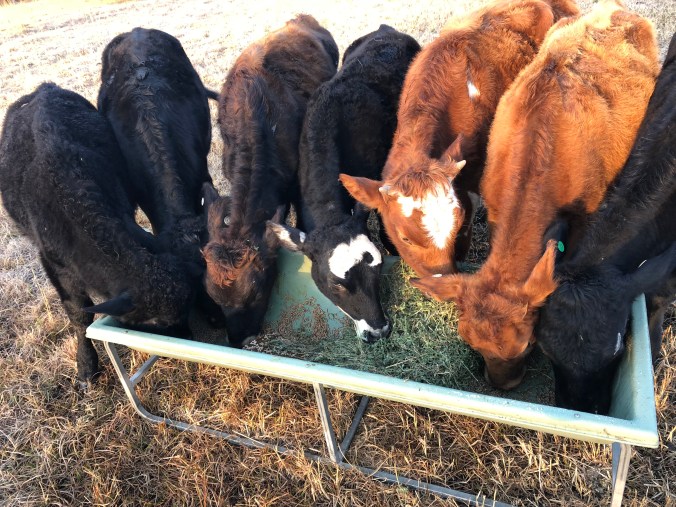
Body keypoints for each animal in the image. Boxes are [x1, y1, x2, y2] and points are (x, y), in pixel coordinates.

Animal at [0, 83, 194, 384]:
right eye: (155, 322)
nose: (185, 339)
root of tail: (44, 87)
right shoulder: (53, 263)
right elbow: (79, 314)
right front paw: (86, 366)